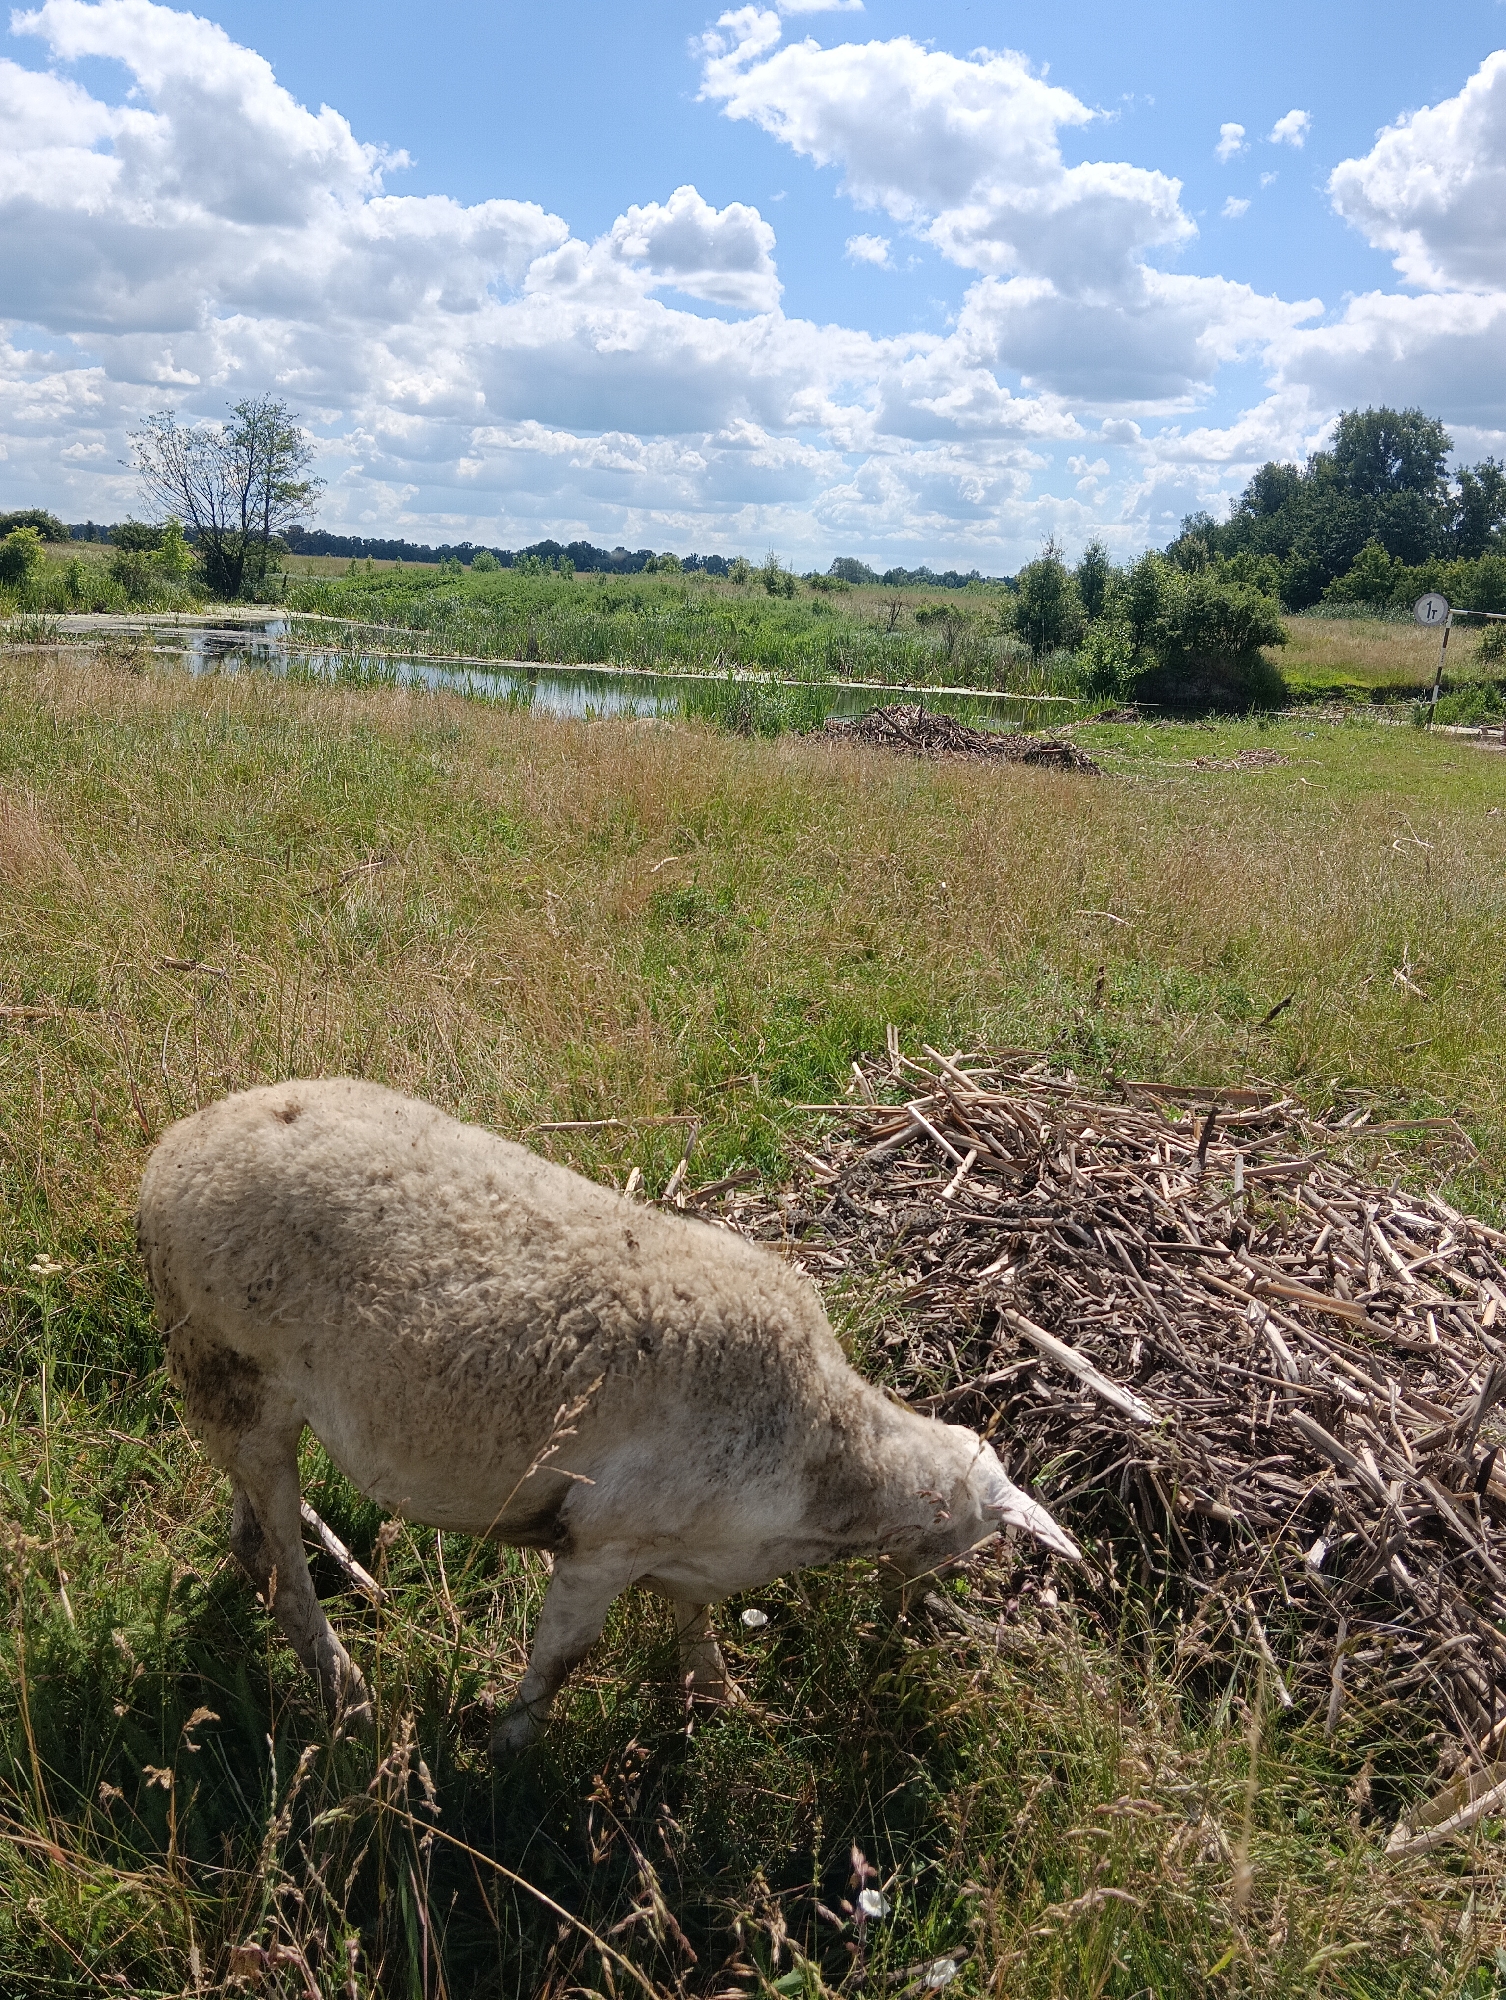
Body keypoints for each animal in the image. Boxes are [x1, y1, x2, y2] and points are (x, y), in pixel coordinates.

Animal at [137, 1078, 1077, 1754]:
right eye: (971, 1542)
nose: (908, 1621)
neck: (826, 1458)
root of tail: (175, 1146)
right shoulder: (603, 1542)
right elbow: (562, 1659)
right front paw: (509, 1750)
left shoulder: (686, 1546)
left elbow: (693, 1618)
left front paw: (719, 1697)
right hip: (221, 1358)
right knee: (284, 1561)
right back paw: (348, 1698)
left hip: (244, 1393)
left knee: (251, 1522)